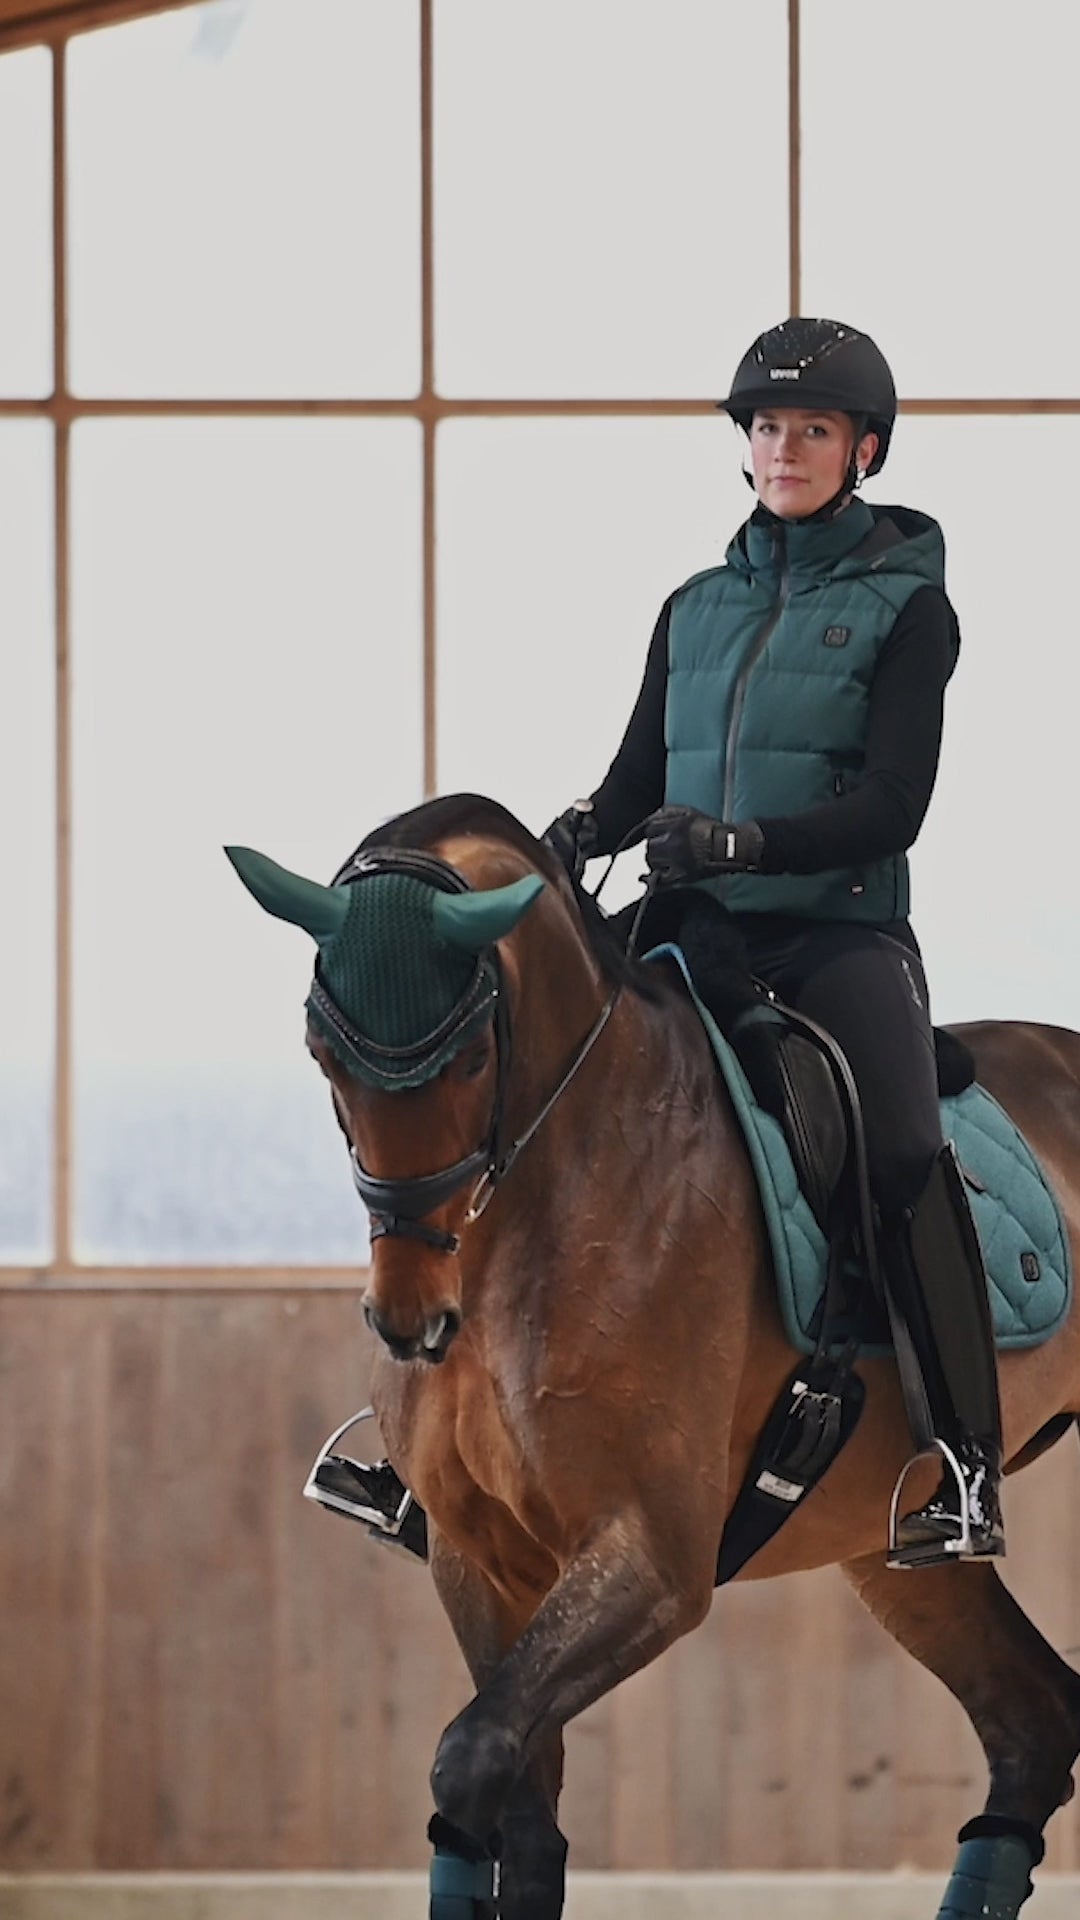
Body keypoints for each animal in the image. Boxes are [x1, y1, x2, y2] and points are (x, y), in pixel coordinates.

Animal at [228, 791, 1080, 1920]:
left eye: (471, 1060)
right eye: (324, 1058)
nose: (410, 1321)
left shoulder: (655, 1560)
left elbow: (471, 1758)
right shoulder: (478, 1559)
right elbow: (512, 1816)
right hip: (890, 1545)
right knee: (1034, 1722)